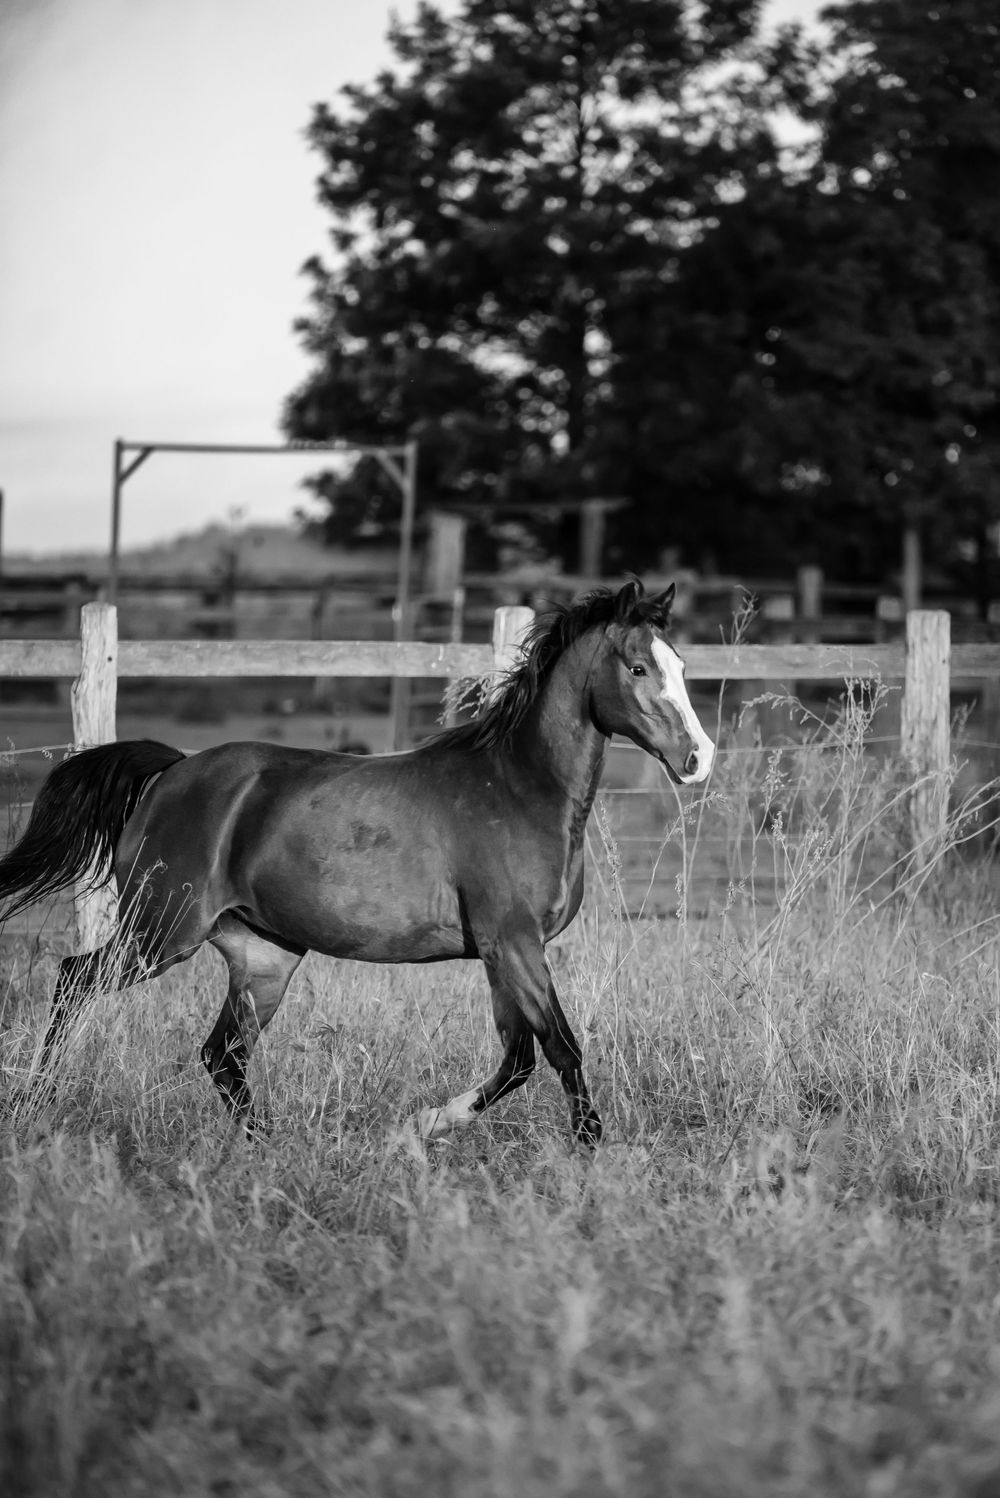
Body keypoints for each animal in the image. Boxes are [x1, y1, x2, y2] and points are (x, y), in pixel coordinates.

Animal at [0, 579, 714, 1145]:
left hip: (263, 956)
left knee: (222, 1054)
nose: (698, 758)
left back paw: (270, 1148)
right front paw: (591, 1151)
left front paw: (420, 1128)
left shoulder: (503, 952)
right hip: (162, 931)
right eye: (637, 668)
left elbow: (518, 1059)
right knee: (74, 982)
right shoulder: (513, 942)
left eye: (679, 663)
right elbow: (561, 1049)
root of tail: (171, 771)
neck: (516, 787)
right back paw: (31, 1104)